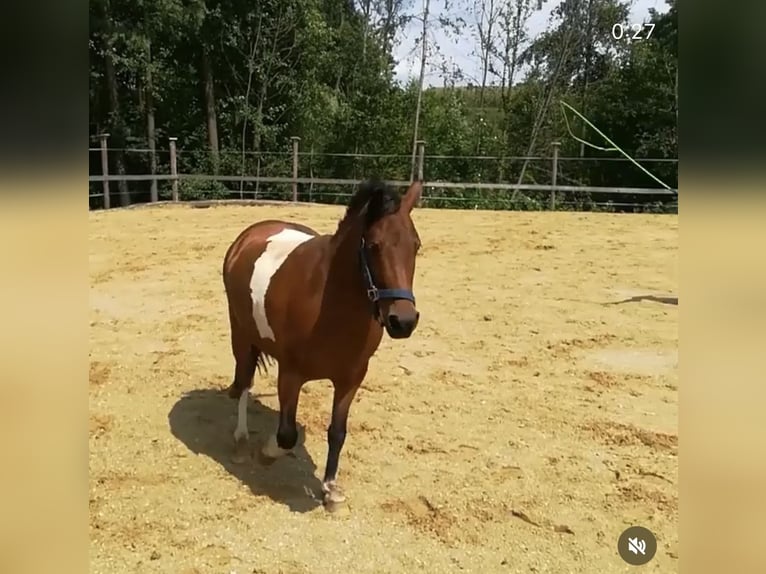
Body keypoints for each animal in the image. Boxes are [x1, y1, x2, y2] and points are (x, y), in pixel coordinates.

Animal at [221, 179, 423, 511]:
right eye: (373, 245)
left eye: (416, 246)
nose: (403, 321)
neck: (329, 303)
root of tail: (251, 234)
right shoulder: (290, 374)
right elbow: (286, 434)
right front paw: (267, 453)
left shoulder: (351, 378)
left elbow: (337, 432)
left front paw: (330, 489)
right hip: (242, 335)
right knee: (243, 383)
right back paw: (239, 441)